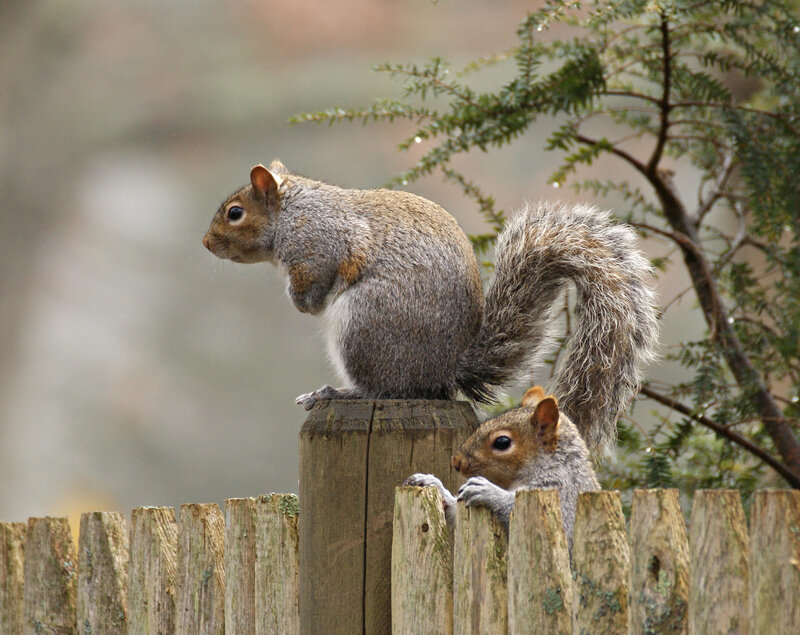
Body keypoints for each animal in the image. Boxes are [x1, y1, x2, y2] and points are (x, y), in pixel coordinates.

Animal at [203, 160, 659, 446]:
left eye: (235, 213)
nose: (206, 244)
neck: (291, 212)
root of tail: (446, 367)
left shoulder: (320, 245)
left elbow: (316, 285)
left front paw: (300, 301)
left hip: (365, 324)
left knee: (383, 389)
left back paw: (335, 393)